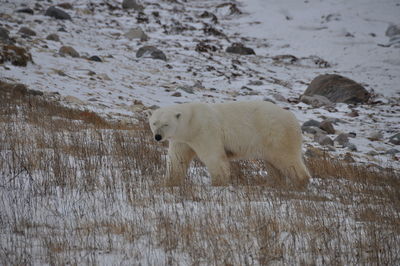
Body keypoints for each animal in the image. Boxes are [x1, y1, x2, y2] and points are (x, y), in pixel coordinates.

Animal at [148, 101, 310, 188]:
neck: (191, 122)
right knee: (273, 164)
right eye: (154, 123)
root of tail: (293, 118)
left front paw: (218, 183)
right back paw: (274, 184)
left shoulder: (205, 131)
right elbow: (177, 159)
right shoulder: (182, 140)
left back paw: (301, 182)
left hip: (276, 134)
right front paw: (170, 182)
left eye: (166, 124)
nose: (158, 136)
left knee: (287, 158)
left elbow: (214, 157)